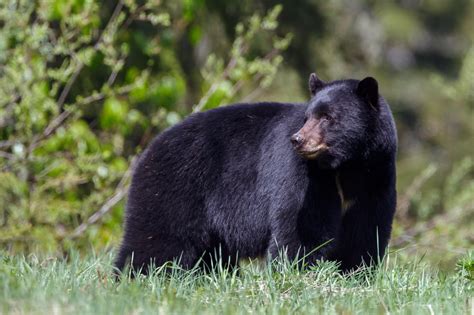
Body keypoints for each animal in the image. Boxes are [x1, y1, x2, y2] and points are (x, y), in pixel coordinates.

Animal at [114, 73, 396, 274]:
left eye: (327, 117)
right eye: (307, 117)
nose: (297, 140)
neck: (345, 167)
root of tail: (149, 150)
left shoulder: (376, 176)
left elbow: (365, 230)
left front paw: (356, 273)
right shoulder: (302, 177)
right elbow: (301, 227)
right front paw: (297, 272)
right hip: (175, 187)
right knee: (155, 239)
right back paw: (132, 277)